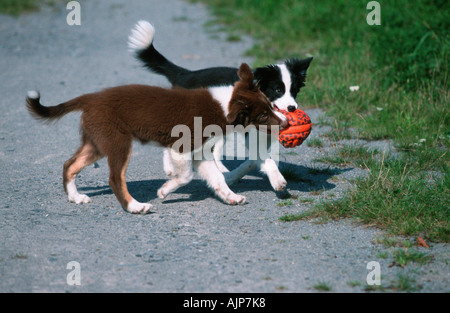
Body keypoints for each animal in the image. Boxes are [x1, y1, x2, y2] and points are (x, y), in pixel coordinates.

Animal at [26, 63, 286, 214]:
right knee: (114, 178)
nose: (285, 122)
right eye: (263, 115)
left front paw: (231, 197)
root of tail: (90, 98)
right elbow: (185, 176)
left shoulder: (200, 153)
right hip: (118, 141)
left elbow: (218, 179)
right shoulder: (180, 147)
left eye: (269, 104)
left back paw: (75, 197)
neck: (223, 106)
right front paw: (164, 191)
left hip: (98, 142)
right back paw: (135, 207)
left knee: (69, 165)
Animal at [127, 20, 312, 191]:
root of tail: (185, 74)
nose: (292, 108)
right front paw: (277, 180)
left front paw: (231, 177)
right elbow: (265, 159)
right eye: (277, 90)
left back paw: (219, 168)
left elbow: (253, 160)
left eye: (294, 90)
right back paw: (170, 167)